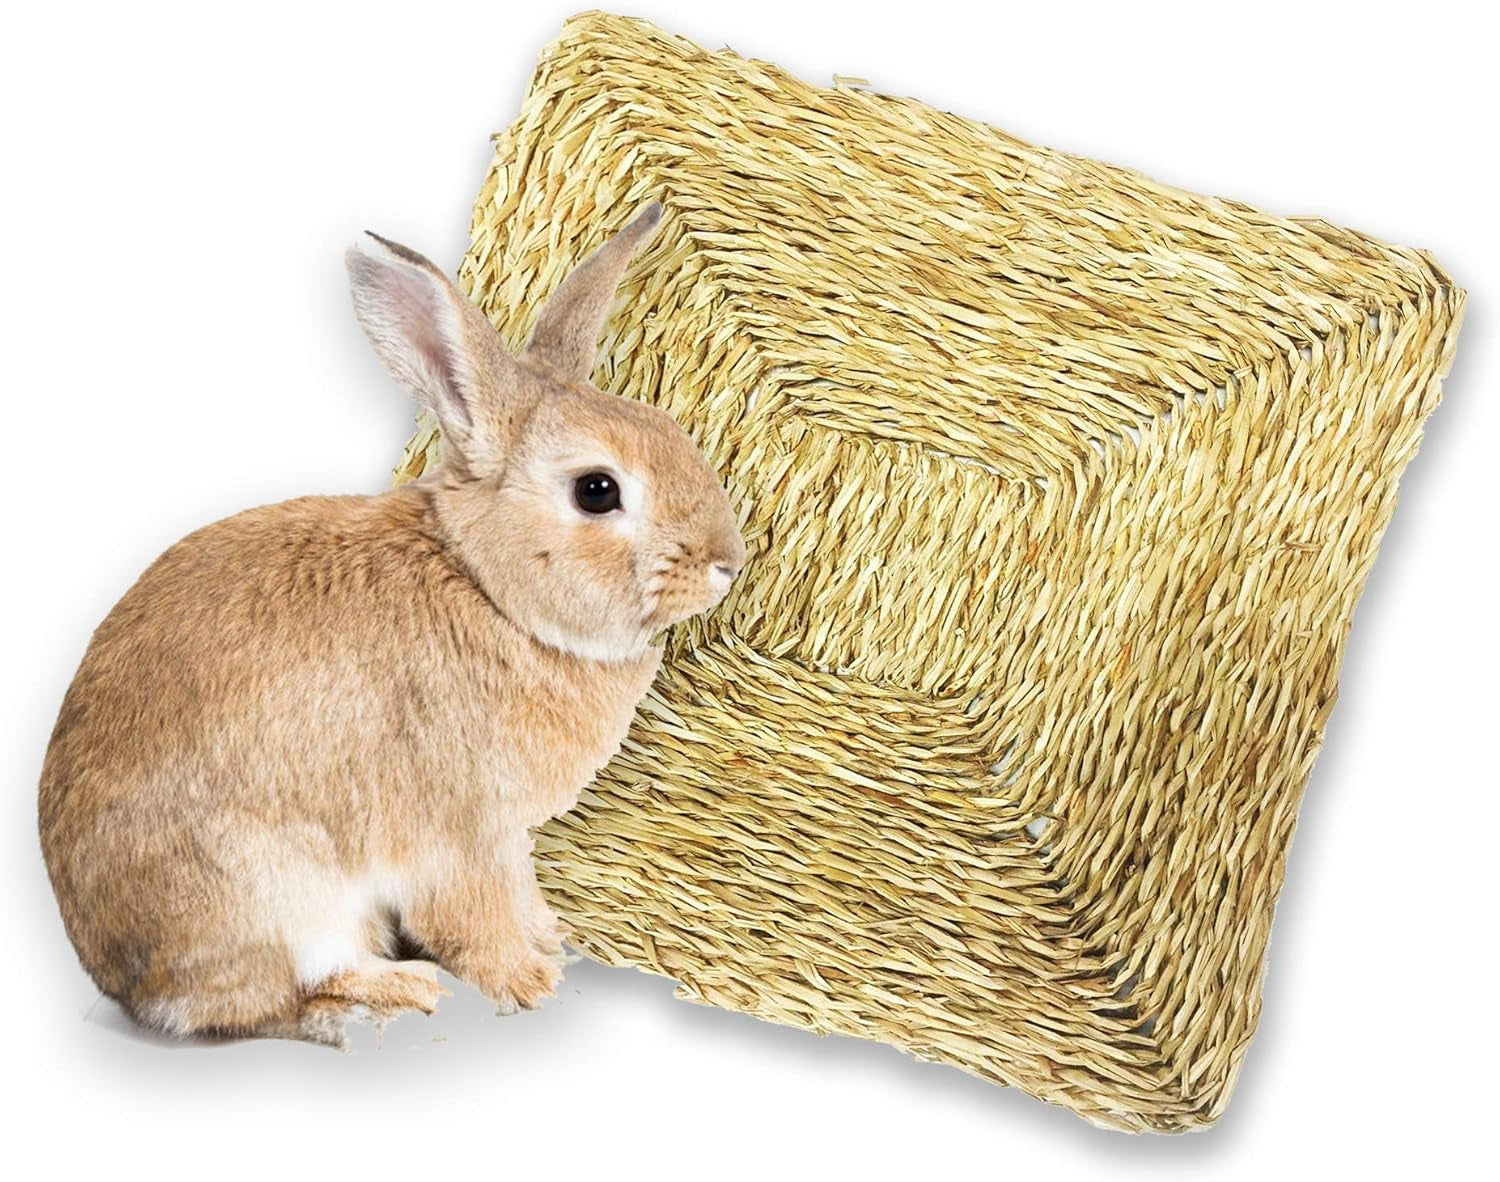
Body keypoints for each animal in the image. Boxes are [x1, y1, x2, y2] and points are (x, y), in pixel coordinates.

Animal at [38, 202, 745, 1046]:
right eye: (597, 490)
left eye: (670, 427)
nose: (728, 562)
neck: (487, 587)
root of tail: (113, 975)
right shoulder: (463, 835)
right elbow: (475, 914)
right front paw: (529, 979)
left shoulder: (505, 840)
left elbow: (519, 894)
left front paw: (550, 940)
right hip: (276, 896)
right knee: (265, 999)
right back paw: (389, 992)